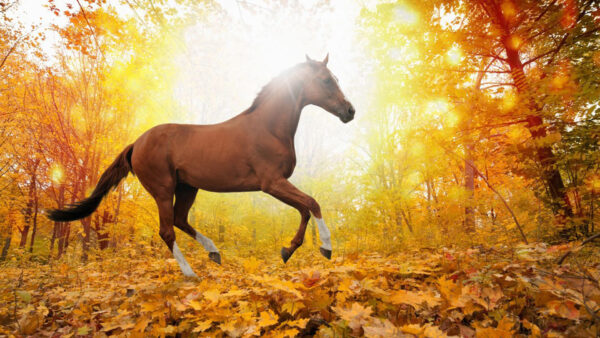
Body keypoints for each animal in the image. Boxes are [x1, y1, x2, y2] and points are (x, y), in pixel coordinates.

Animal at [50, 54, 356, 278]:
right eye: (326, 80)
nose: (350, 111)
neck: (268, 128)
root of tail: (136, 143)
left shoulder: (276, 185)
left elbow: (304, 209)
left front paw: (288, 251)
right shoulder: (271, 183)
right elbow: (312, 203)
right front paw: (326, 247)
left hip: (188, 188)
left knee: (180, 220)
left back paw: (214, 252)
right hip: (163, 189)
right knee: (167, 230)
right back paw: (190, 273)